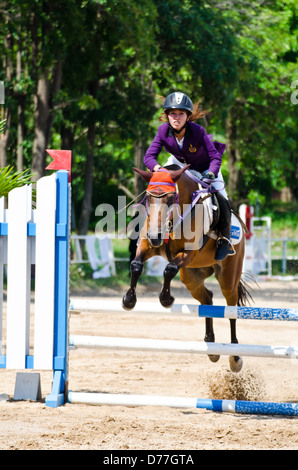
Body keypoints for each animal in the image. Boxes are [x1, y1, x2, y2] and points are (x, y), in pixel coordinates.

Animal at [122, 163, 253, 372]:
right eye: (149, 197)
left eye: (170, 198)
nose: (156, 236)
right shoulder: (146, 244)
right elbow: (136, 265)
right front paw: (128, 300)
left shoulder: (188, 253)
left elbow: (169, 269)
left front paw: (166, 299)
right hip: (191, 277)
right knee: (208, 299)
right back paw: (212, 346)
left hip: (228, 278)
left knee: (232, 309)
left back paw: (235, 356)